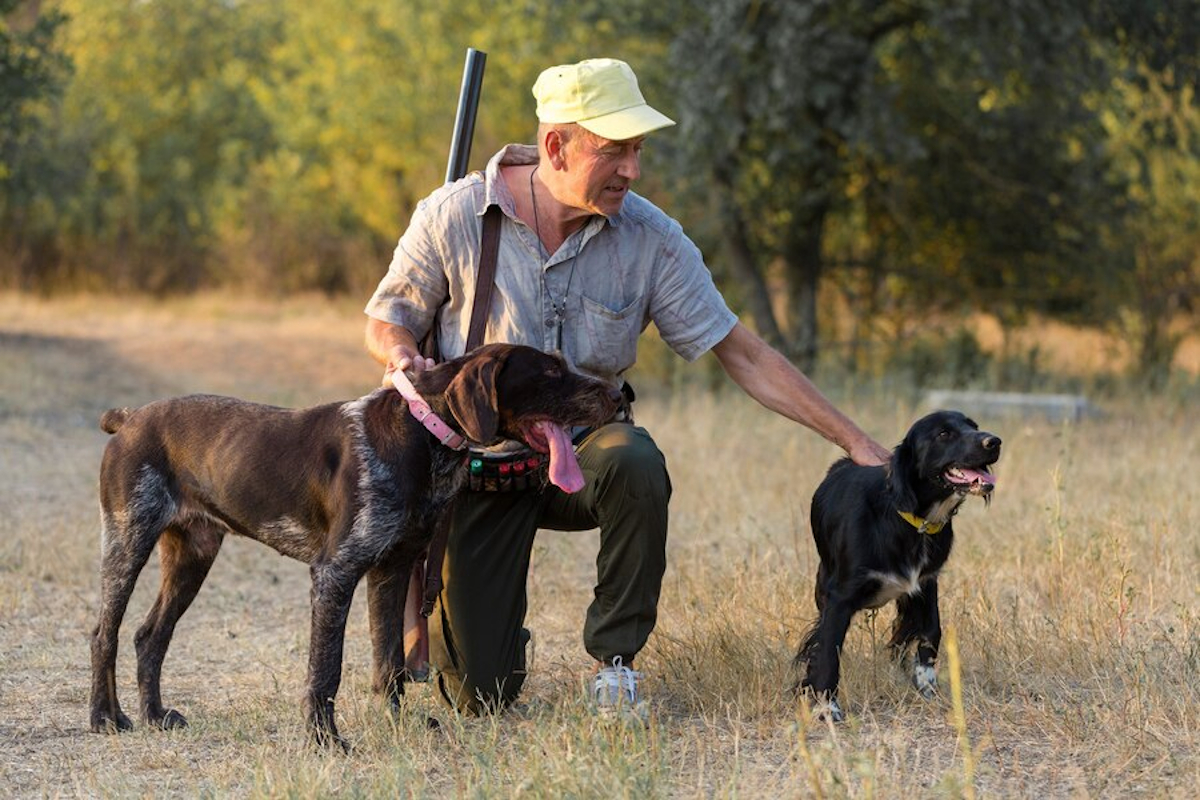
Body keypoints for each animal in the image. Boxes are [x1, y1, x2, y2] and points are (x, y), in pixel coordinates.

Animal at [87, 345, 619, 753]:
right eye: (550, 370)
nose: (619, 394)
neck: (422, 435)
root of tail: (129, 419)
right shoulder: (335, 573)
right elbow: (326, 670)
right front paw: (325, 740)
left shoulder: (392, 569)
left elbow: (390, 663)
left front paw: (397, 724)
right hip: (127, 539)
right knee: (103, 633)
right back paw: (105, 717)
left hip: (192, 556)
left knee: (150, 636)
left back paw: (155, 714)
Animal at [792, 410, 998, 724]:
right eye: (943, 434)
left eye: (973, 426)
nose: (994, 441)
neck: (911, 520)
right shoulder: (840, 597)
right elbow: (828, 651)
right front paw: (827, 707)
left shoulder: (925, 582)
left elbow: (931, 630)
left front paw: (926, 683)